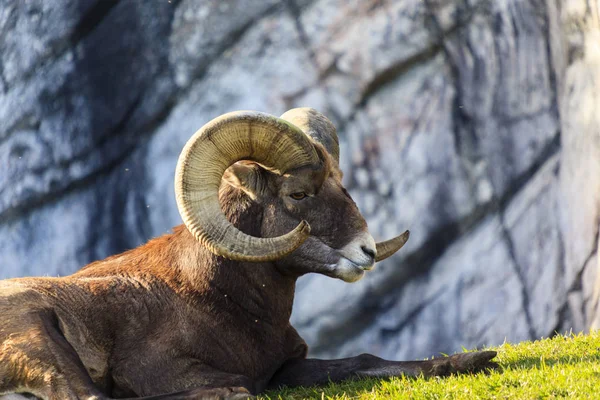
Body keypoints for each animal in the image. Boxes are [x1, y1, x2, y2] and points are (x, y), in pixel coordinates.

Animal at [0, 109, 496, 400]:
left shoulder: (287, 370)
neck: (221, 299)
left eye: (342, 185)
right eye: (298, 193)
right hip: (37, 332)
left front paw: (471, 361)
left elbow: (365, 362)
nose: (367, 251)